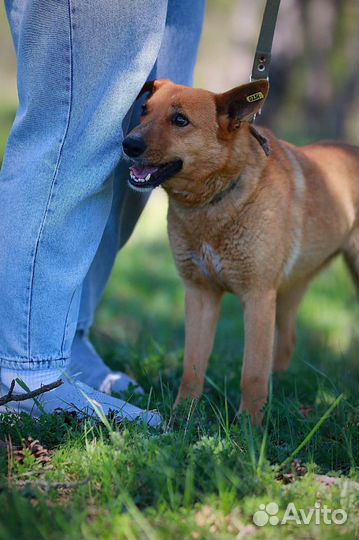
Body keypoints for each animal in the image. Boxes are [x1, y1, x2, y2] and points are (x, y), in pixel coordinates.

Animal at [122, 79, 358, 426]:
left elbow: (252, 374)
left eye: (180, 120)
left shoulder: (258, 299)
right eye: (144, 110)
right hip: (288, 293)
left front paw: (249, 427)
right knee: (287, 343)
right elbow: (192, 367)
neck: (214, 201)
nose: (128, 144)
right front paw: (182, 417)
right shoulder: (200, 295)